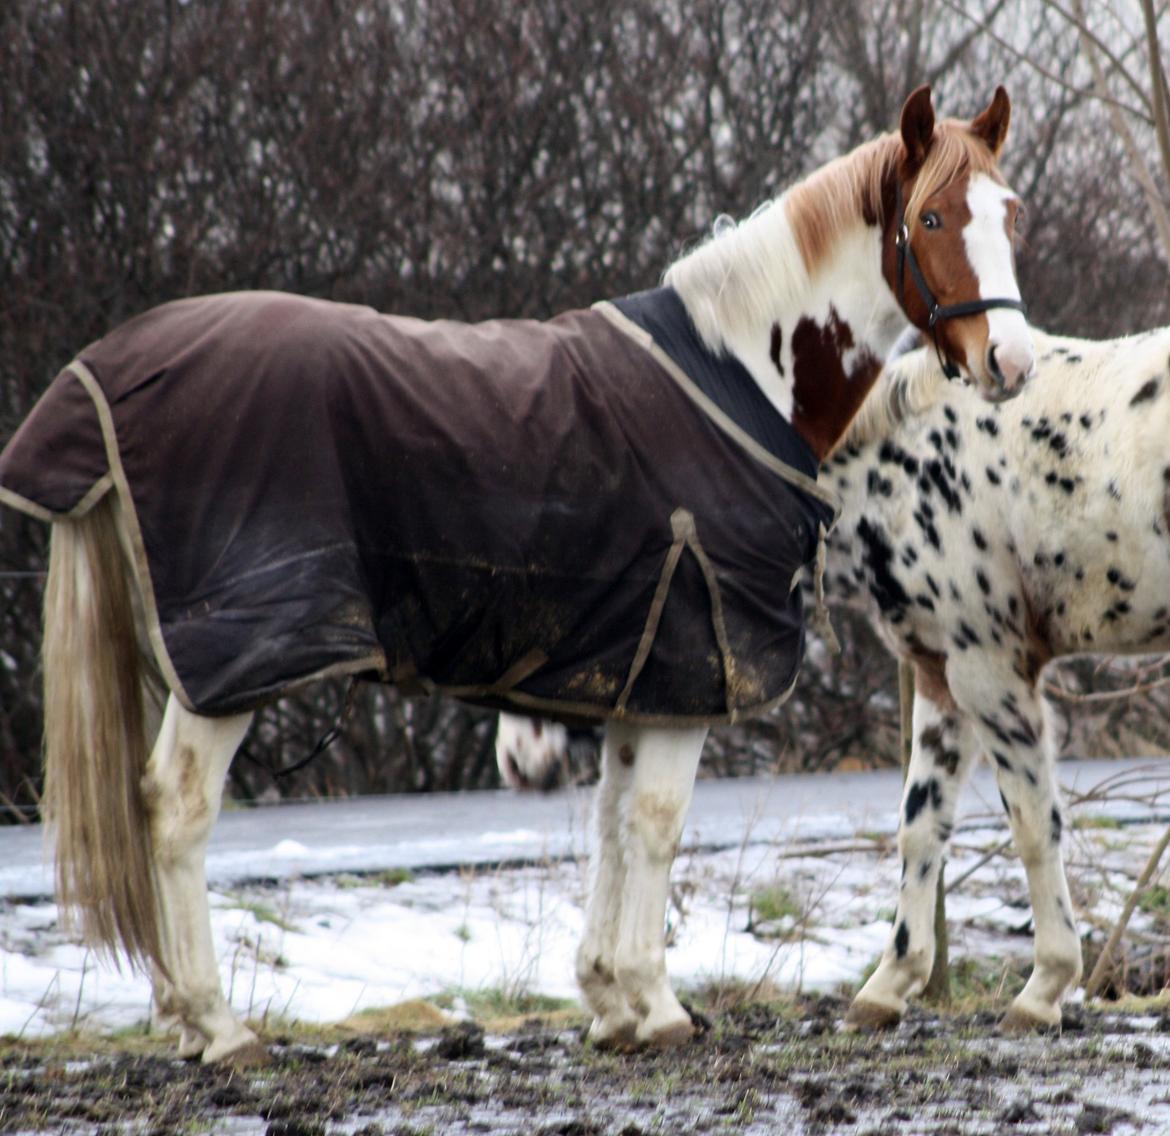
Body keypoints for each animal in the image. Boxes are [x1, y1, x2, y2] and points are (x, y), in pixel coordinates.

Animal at [11, 84, 1034, 1062]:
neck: (743, 372)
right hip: (233, 665)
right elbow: (656, 824)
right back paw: (218, 1028)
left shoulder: (642, 672)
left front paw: (615, 1003)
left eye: (1011, 213)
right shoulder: (693, 669)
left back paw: (185, 1023)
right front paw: (659, 1005)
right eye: (933, 219)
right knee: (177, 811)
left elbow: (613, 822)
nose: (1011, 362)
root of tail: (104, 369)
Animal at [823, 325, 1170, 1034]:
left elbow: (1035, 827)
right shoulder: (940, 676)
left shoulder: (990, 670)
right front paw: (888, 985)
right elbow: (920, 826)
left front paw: (1044, 990)